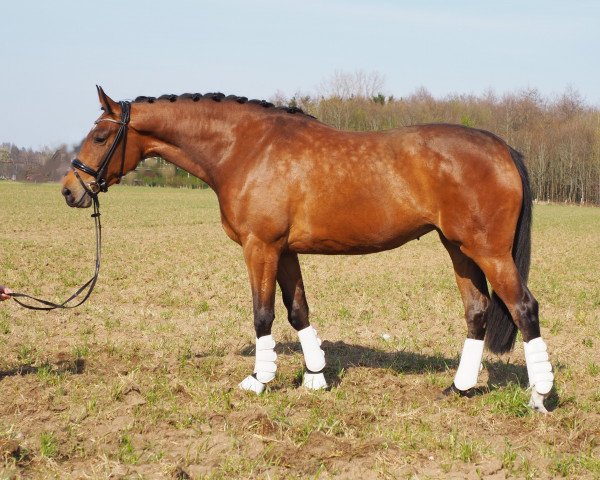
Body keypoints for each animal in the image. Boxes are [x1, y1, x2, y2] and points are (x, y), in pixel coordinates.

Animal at [59, 87, 552, 412]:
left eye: (100, 137)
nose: (69, 190)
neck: (247, 149)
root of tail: (502, 147)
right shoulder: (285, 251)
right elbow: (298, 310)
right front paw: (315, 378)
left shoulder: (260, 248)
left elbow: (262, 314)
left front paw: (259, 380)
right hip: (459, 249)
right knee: (478, 312)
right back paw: (460, 388)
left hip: (488, 251)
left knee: (524, 308)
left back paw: (540, 396)